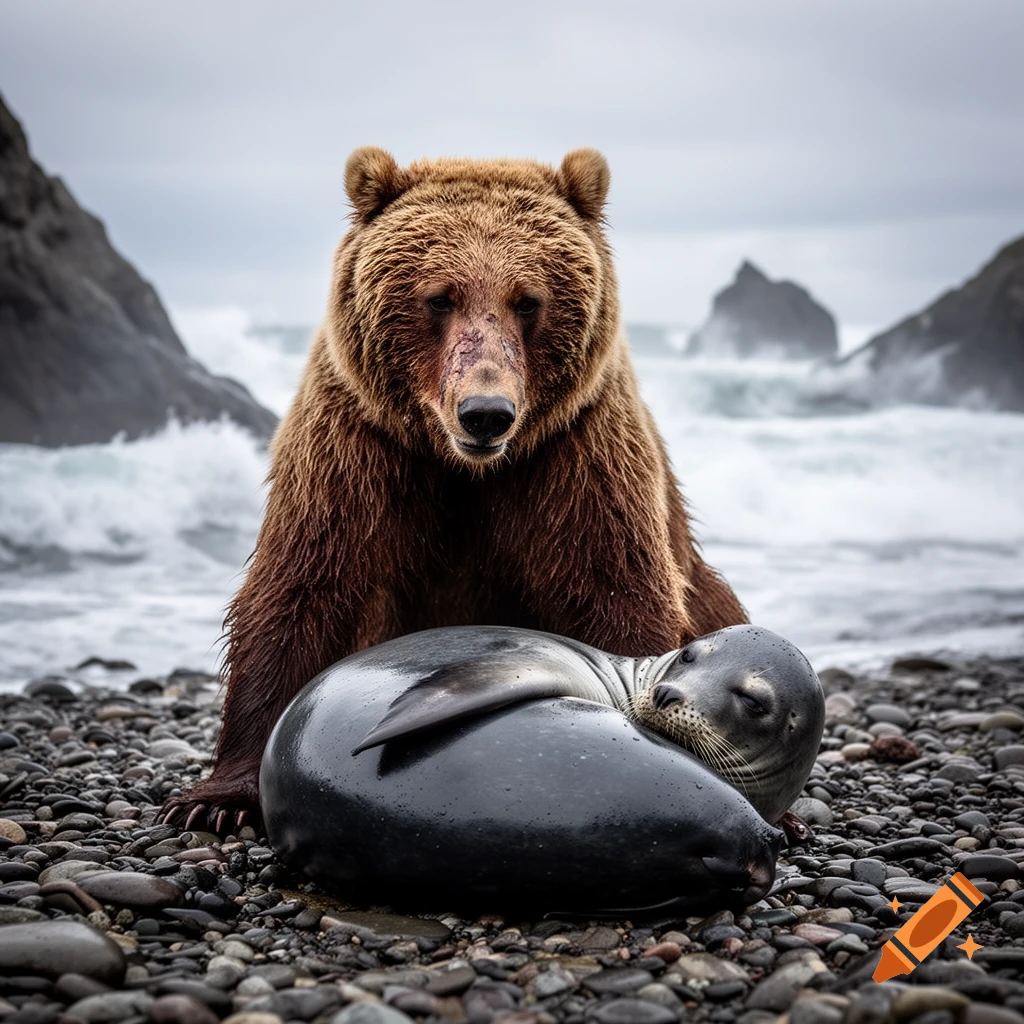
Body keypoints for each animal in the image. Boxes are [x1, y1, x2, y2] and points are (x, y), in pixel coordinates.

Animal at [162, 147, 747, 831]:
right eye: (439, 298)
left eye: (528, 300)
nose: (485, 412)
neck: (464, 469)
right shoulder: (357, 449)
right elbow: (303, 586)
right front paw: (217, 801)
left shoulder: (573, 456)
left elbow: (613, 588)